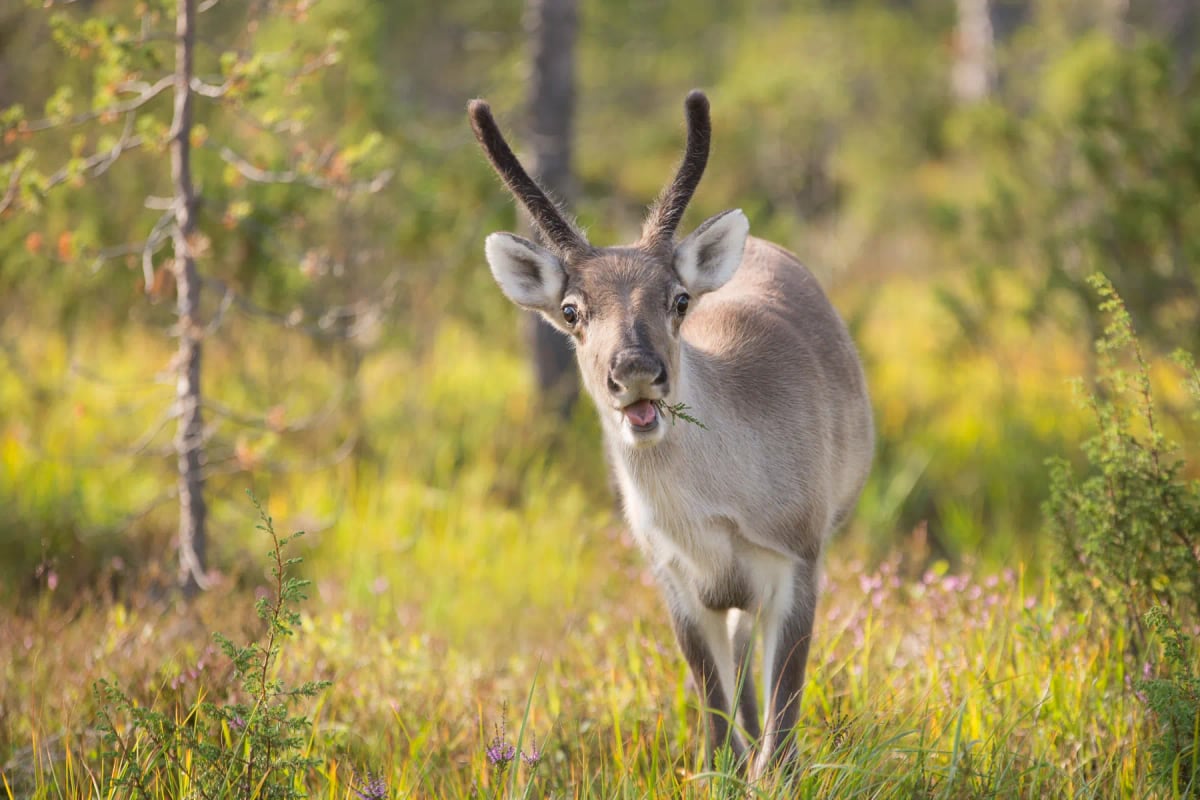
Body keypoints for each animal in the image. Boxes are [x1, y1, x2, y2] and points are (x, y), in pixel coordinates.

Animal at [468, 90, 874, 778]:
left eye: (679, 299)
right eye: (572, 310)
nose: (635, 370)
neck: (715, 509)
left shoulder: (799, 558)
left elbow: (783, 733)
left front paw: (774, 773)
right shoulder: (675, 580)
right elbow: (718, 722)